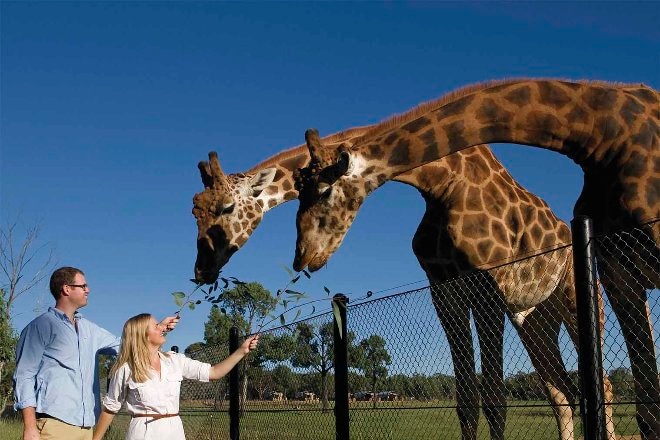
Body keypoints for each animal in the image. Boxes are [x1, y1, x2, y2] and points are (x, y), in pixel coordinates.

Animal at [294, 77, 660, 438]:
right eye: (299, 189)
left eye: (324, 191)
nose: (303, 258)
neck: (441, 185)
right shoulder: (444, 290)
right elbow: (467, 400)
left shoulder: (488, 283)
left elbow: (496, 399)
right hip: (534, 318)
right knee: (562, 392)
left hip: (578, 294)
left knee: (602, 385)